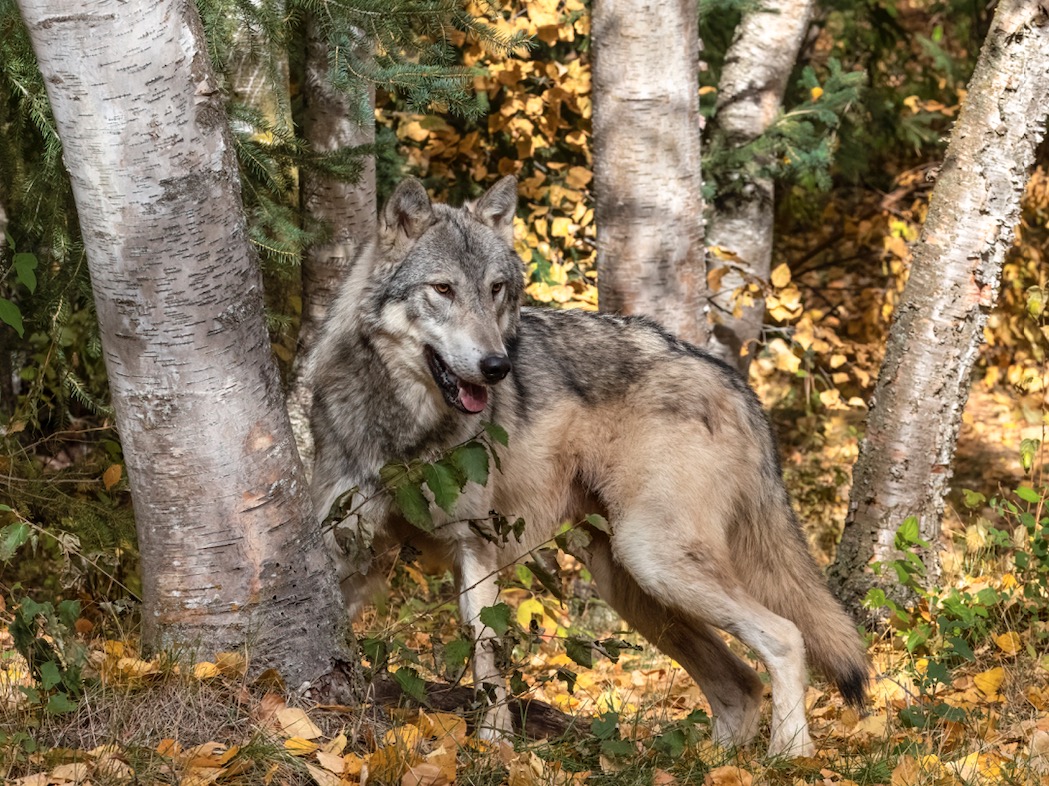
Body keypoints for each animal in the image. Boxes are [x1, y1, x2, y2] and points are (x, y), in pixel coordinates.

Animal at [306, 176, 868, 755]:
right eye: (442, 289)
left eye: (495, 289)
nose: (497, 366)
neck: (404, 432)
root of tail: (730, 378)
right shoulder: (353, 552)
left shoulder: (475, 542)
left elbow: (487, 651)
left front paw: (496, 748)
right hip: (630, 584)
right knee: (741, 684)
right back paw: (721, 763)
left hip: (654, 561)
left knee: (785, 638)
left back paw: (789, 757)